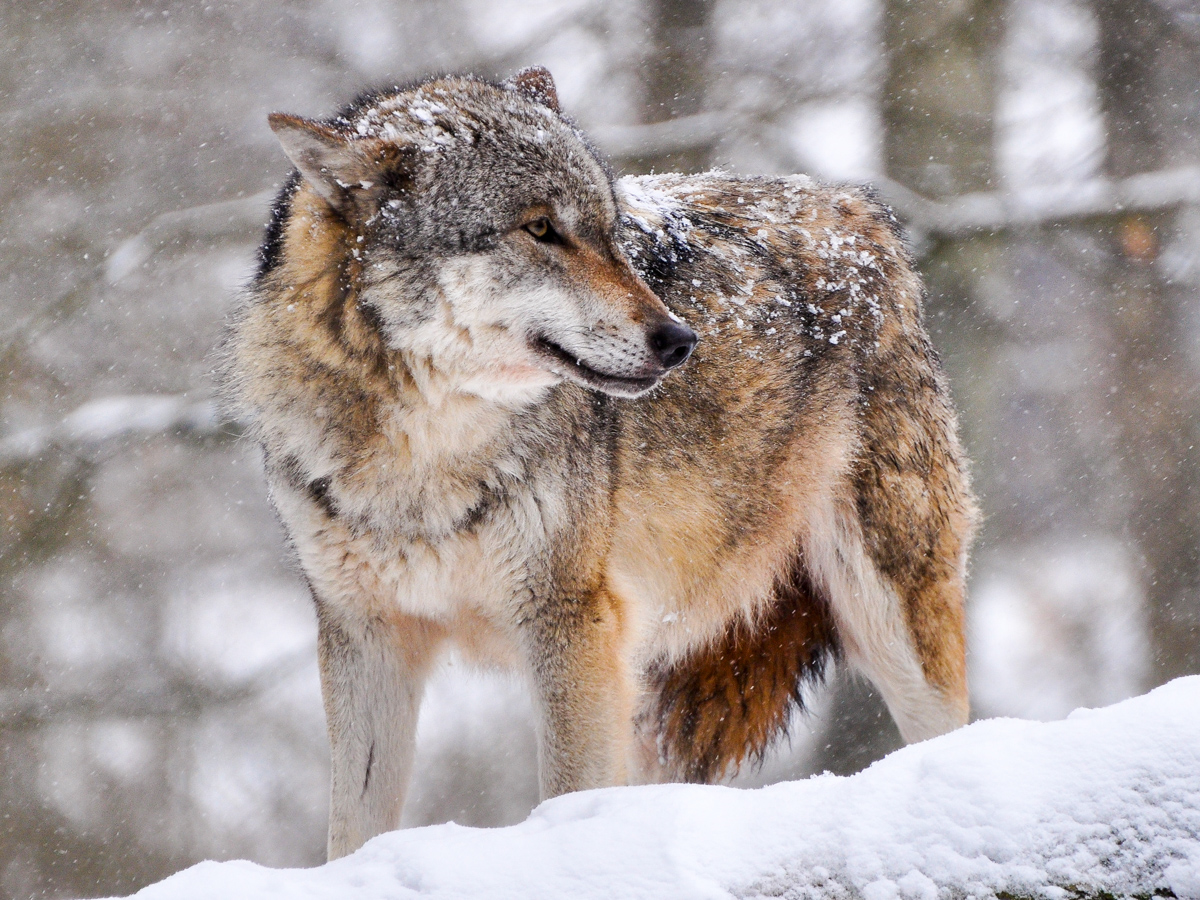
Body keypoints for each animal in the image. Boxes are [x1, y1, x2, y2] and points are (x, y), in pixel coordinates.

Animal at [220, 68, 979, 859]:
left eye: (609, 232)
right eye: (540, 229)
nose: (680, 340)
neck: (421, 460)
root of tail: (855, 205)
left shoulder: (568, 626)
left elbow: (566, 795)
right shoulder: (364, 639)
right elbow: (352, 833)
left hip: (890, 612)